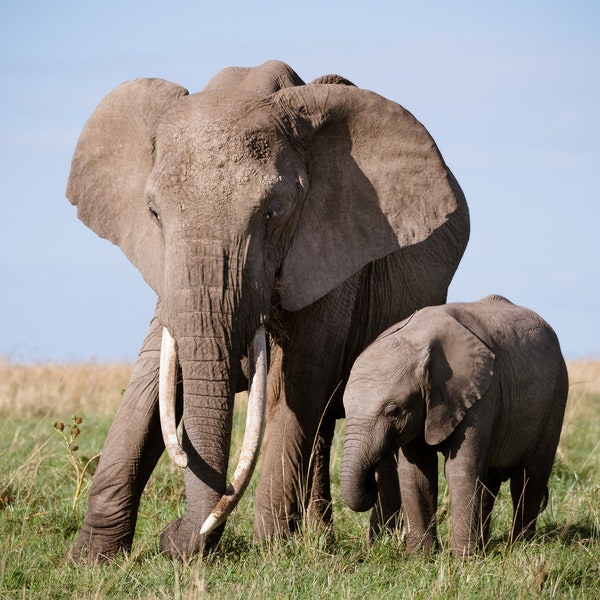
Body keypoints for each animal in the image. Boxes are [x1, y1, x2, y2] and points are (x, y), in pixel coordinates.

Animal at [65, 58, 468, 560]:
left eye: (273, 212)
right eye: (154, 213)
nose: (172, 536)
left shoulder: (335, 253)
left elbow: (297, 381)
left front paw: (271, 551)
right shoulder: (169, 272)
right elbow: (149, 381)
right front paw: (89, 559)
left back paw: (371, 538)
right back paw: (319, 536)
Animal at [340, 296, 568, 556]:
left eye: (393, 411)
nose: (371, 483)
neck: (417, 337)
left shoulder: (480, 392)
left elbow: (461, 468)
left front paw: (463, 559)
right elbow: (416, 473)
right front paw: (420, 557)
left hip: (557, 394)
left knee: (530, 477)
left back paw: (520, 545)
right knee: (490, 481)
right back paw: (486, 545)